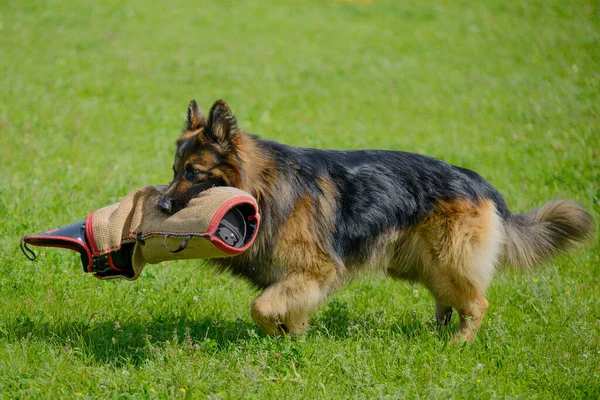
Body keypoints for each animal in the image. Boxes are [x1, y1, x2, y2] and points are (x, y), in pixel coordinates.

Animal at [157, 98, 592, 342]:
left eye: (194, 173)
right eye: (175, 170)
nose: (160, 207)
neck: (263, 186)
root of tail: (477, 180)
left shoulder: (314, 270)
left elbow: (261, 308)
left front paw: (283, 336)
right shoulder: (299, 279)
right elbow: (280, 310)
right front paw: (292, 338)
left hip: (450, 259)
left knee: (477, 303)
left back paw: (458, 344)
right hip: (425, 264)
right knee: (448, 300)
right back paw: (439, 332)